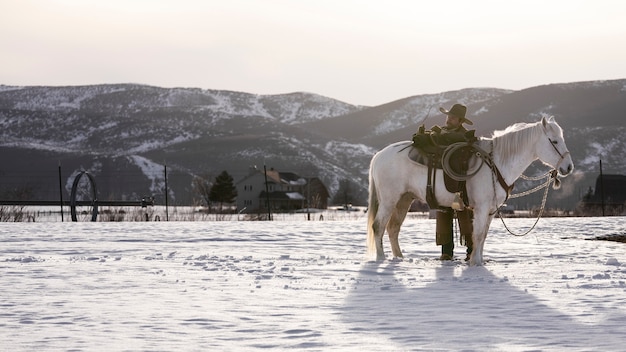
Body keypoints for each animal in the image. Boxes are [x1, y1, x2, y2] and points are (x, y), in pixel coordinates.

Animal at [368, 117, 572, 266]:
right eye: (554, 141)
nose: (569, 167)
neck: (496, 163)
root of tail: (379, 156)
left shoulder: (491, 210)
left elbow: (483, 236)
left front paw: (478, 260)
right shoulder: (481, 208)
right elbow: (478, 235)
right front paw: (475, 263)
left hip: (404, 200)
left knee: (393, 228)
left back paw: (399, 258)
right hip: (389, 200)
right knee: (378, 226)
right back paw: (380, 258)